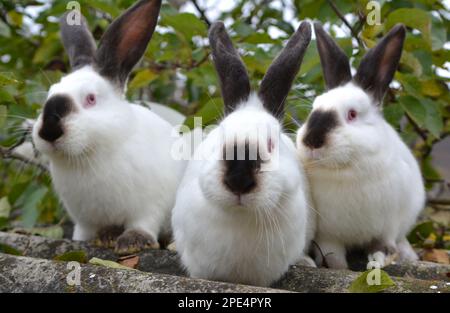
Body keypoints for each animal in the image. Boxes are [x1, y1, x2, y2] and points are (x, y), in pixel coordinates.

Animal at [31, 0, 186, 254]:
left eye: (91, 99)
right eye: (50, 94)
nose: (49, 131)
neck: (90, 156)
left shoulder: (151, 205)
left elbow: (143, 223)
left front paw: (133, 242)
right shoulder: (84, 220)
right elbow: (88, 232)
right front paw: (103, 238)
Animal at [296, 23, 426, 268]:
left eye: (352, 114)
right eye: (314, 108)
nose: (312, 140)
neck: (345, 169)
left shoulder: (386, 228)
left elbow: (381, 249)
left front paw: (377, 265)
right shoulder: (328, 237)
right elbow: (334, 259)